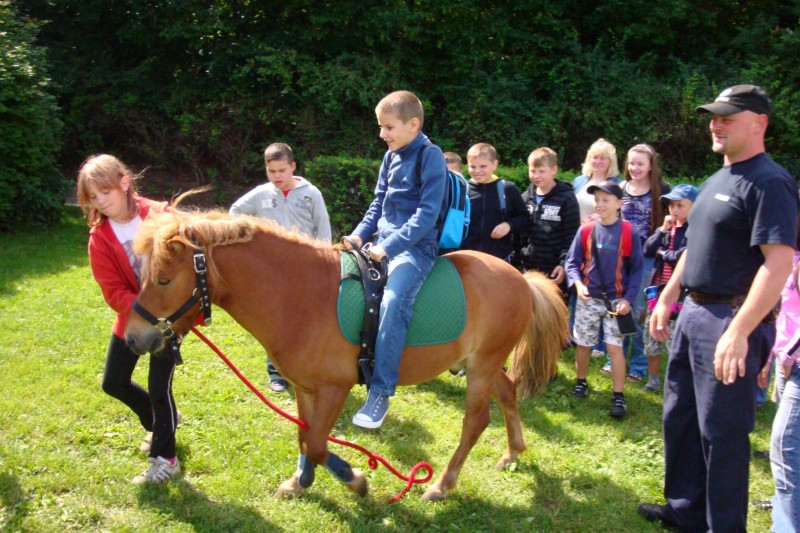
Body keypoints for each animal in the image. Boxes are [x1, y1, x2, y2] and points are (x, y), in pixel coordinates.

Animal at [125, 202, 568, 500]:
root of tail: (520, 279)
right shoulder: (306, 387)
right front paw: (300, 482)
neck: (303, 295)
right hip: (484, 365)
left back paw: (442, 485)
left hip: (482, 366)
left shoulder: (335, 388)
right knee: (508, 392)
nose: (133, 337)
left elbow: (320, 445)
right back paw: (513, 452)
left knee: (475, 422)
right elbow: (305, 438)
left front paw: (355, 479)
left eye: (163, 280)